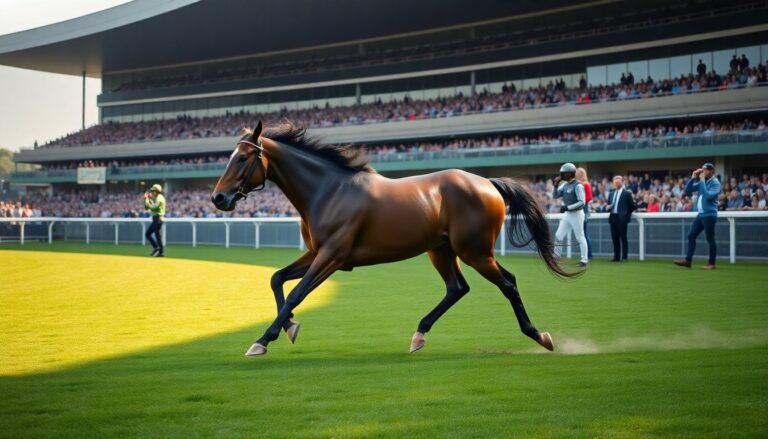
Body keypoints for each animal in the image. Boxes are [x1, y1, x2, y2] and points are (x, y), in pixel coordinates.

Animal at [211, 121, 578, 356]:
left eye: (242, 157)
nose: (218, 198)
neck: (327, 191)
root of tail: (488, 182)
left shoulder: (332, 256)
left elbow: (296, 294)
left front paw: (263, 339)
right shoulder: (317, 252)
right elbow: (276, 279)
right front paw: (288, 328)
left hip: (474, 251)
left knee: (508, 282)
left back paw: (539, 335)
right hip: (441, 250)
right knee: (457, 288)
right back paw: (419, 335)